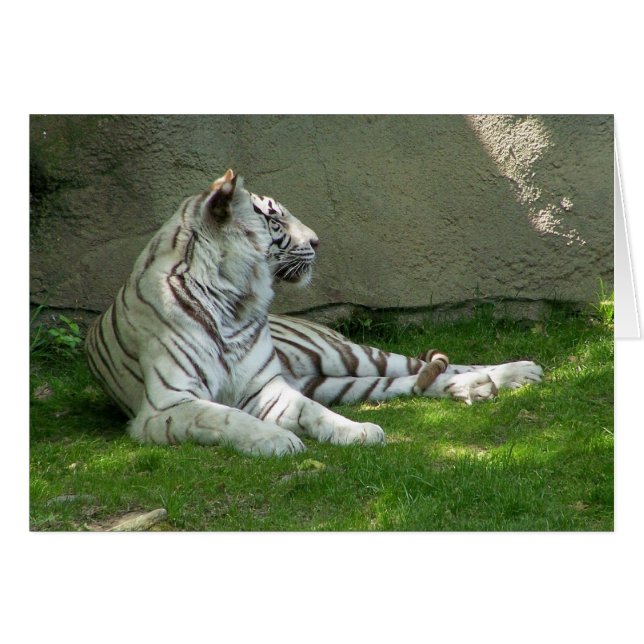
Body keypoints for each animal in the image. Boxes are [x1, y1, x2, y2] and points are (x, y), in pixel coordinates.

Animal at [86, 169, 542, 456]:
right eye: (273, 219)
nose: (319, 241)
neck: (233, 302)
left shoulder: (266, 387)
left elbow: (313, 412)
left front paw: (357, 431)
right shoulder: (167, 404)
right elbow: (225, 416)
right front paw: (274, 440)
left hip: (342, 355)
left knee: (418, 365)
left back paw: (516, 372)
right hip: (333, 381)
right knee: (409, 381)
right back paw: (477, 386)